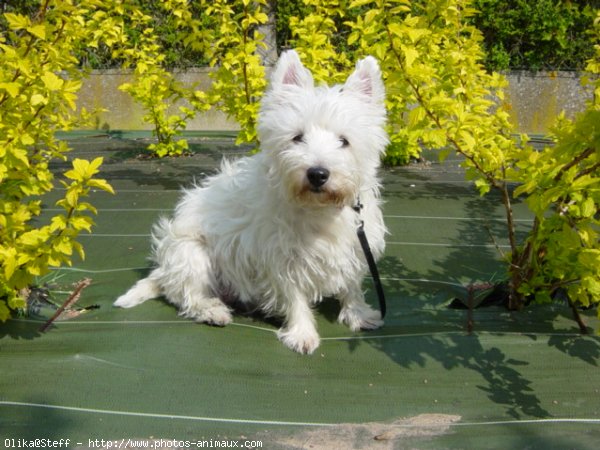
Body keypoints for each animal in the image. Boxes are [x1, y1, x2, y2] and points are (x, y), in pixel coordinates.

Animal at [114, 50, 390, 356]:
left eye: (344, 141)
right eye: (297, 137)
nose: (318, 173)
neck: (319, 210)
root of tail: (165, 270)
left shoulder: (355, 245)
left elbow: (351, 285)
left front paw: (359, 315)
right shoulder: (280, 256)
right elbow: (294, 296)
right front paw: (302, 334)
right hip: (192, 253)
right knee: (188, 295)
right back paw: (213, 311)